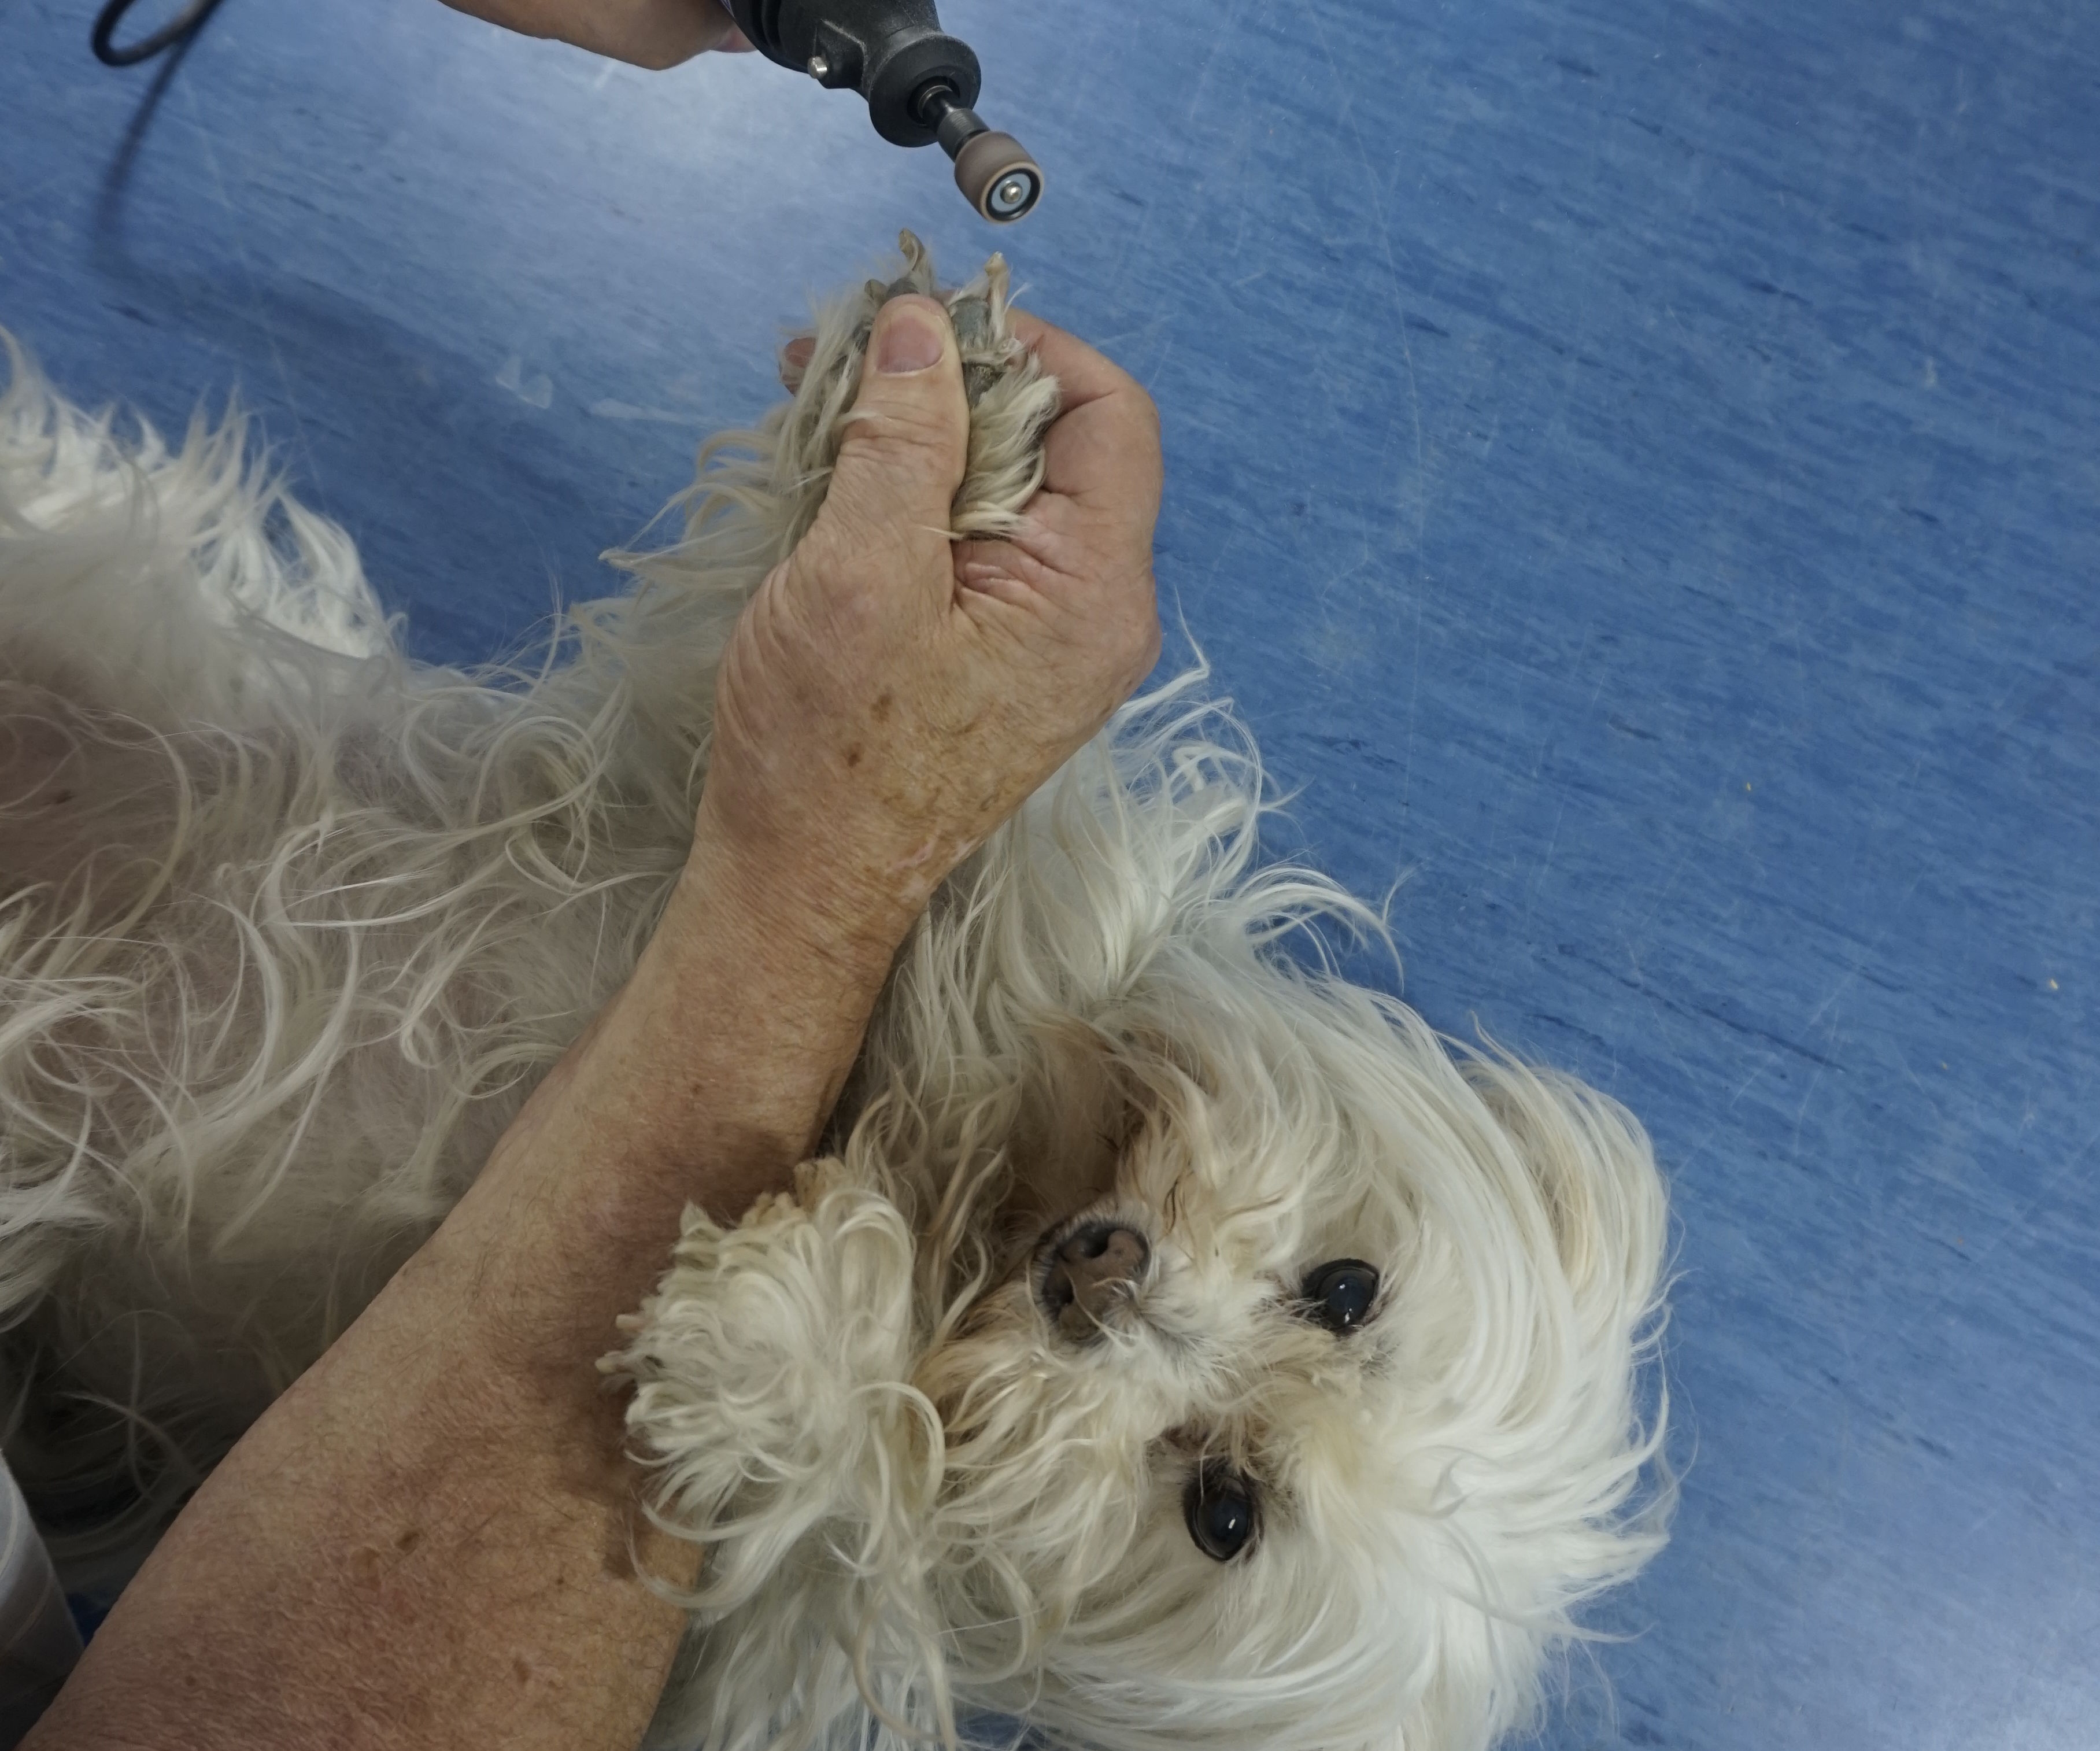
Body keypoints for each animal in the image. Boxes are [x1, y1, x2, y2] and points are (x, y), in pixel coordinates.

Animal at [0, 242, 1672, 1746]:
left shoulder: (748, 1649)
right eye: (1347, 1286)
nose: (1103, 1274)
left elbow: (849, 1485)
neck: (957, 1172)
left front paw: (770, 1344)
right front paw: (968, 418)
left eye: (1223, 1511)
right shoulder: (677, 796)